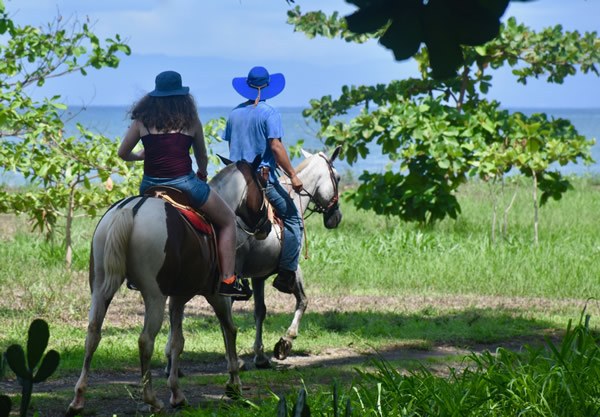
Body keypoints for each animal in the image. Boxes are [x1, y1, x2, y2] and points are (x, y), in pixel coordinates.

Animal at [67, 192, 241, 412]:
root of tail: (132, 208)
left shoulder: (178, 298)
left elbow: (177, 342)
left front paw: (177, 394)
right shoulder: (216, 295)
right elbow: (229, 330)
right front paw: (234, 384)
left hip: (99, 288)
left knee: (92, 334)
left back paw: (78, 399)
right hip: (155, 296)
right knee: (146, 340)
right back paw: (151, 399)